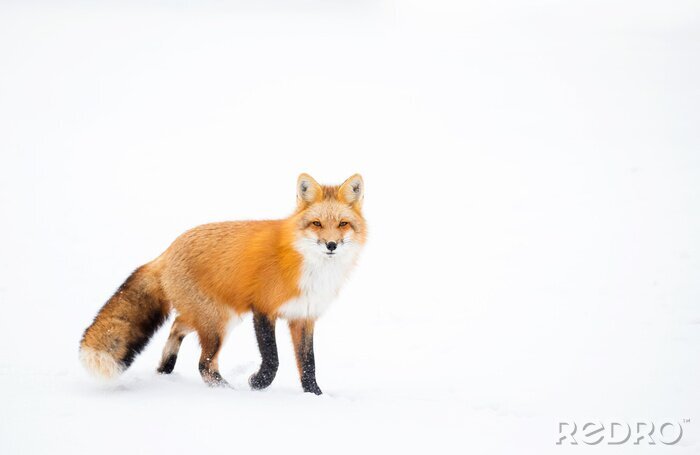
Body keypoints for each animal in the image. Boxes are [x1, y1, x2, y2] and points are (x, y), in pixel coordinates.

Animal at [79, 173, 365, 394]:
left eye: (343, 224)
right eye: (317, 223)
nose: (331, 245)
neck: (307, 265)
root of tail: (167, 252)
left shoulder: (303, 317)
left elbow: (308, 364)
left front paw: (315, 396)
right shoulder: (263, 309)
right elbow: (272, 359)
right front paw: (258, 383)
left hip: (214, 317)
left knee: (177, 324)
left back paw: (165, 368)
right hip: (220, 322)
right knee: (204, 364)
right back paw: (228, 392)